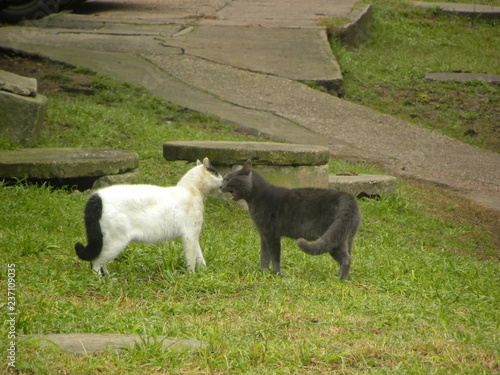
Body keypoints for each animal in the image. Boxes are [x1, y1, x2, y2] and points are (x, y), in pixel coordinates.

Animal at [74, 158, 223, 276]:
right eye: (217, 173)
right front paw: (191, 276)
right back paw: (101, 280)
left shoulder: (194, 234)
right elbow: (191, 258)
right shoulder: (190, 235)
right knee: (96, 262)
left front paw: (204, 271)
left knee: (101, 262)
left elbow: (199, 255)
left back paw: (109, 277)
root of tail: (96, 197)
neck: (192, 190)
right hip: (114, 243)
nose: (223, 180)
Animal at [222, 161, 360, 282]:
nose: (220, 186)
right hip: (347, 236)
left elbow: (275, 256)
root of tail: (348, 197)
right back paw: (338, 276)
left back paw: (341, 281)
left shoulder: (271, 234)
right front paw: (263, 273)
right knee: (349, 255)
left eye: (228, 179)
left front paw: (276, 274)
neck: (255, 198)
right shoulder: (263, 235)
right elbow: (264, 256)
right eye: (223, 179)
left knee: (346, 258)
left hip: (334, 238)